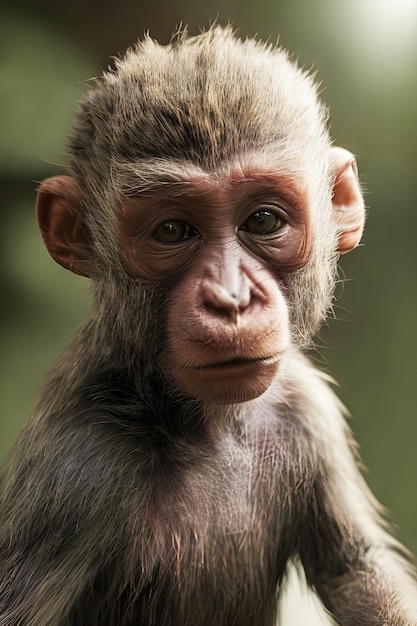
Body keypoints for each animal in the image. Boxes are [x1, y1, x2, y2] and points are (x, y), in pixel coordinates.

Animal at [0, 24, 416, 624]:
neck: (198, 419)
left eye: (263, 220)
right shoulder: (78, 468)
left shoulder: (308, 408)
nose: (230, 299)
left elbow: (356, 566)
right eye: (172, 230)